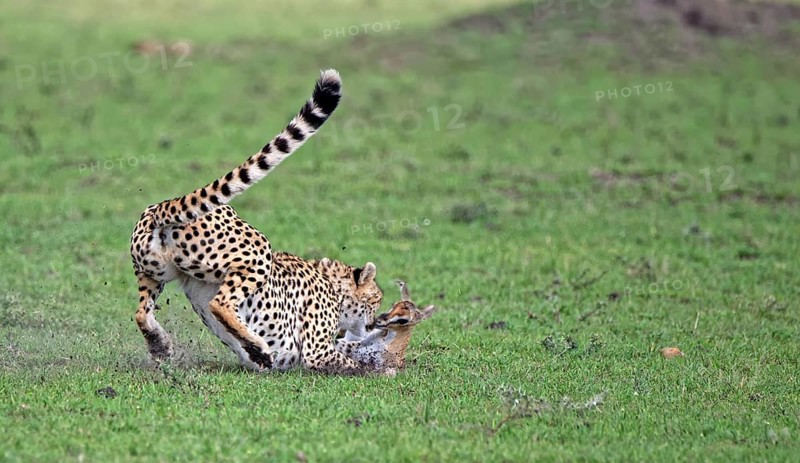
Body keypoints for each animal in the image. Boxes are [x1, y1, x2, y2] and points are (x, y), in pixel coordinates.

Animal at [130, 69, 383, 374]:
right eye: (377, 298)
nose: (375, 322)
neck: (331, 281)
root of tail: (162, 207)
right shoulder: (316, 352)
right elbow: (350, 361)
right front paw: (381, 369)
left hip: (154, 271)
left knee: (141, 313)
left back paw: (161, 345)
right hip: (256, 253)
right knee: (220, 303)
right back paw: (257, 347)